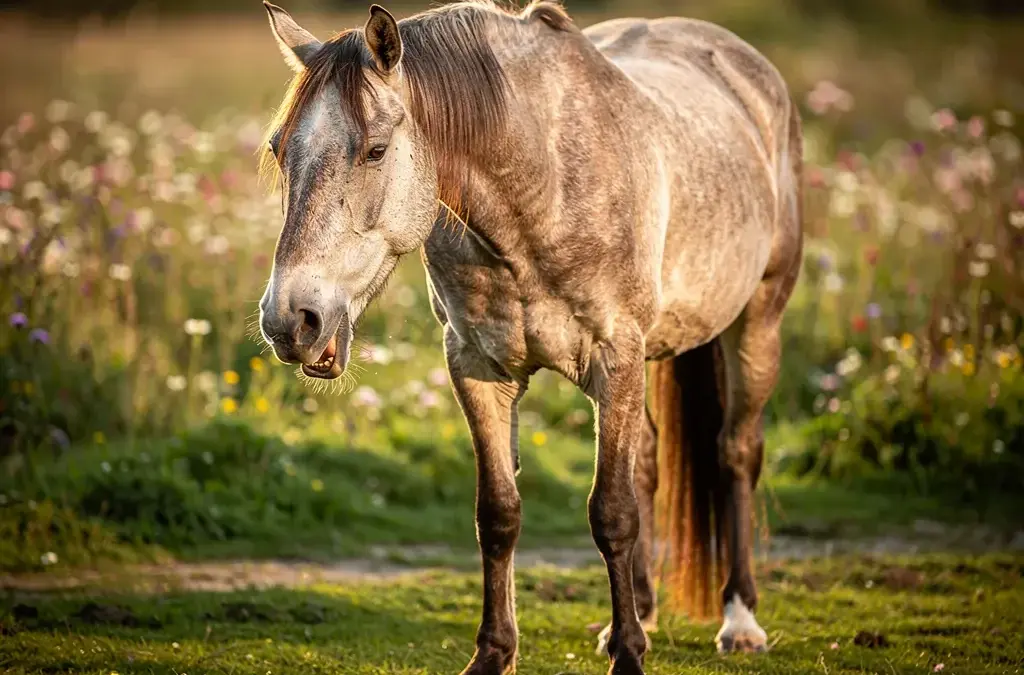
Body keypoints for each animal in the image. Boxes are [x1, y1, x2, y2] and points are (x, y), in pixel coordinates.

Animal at [256, 1, 803, 672]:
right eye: (279, 150)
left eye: (376, 150)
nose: (290, 320)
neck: (539, 186)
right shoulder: (476, 366)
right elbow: (498, 513)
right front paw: (494, 654)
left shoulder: (616, 358)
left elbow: (611, 512)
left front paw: (628, 656)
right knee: (648, 462)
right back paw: (642, 612)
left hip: (757, 322)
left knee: (736, 453)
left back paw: (739, 618)